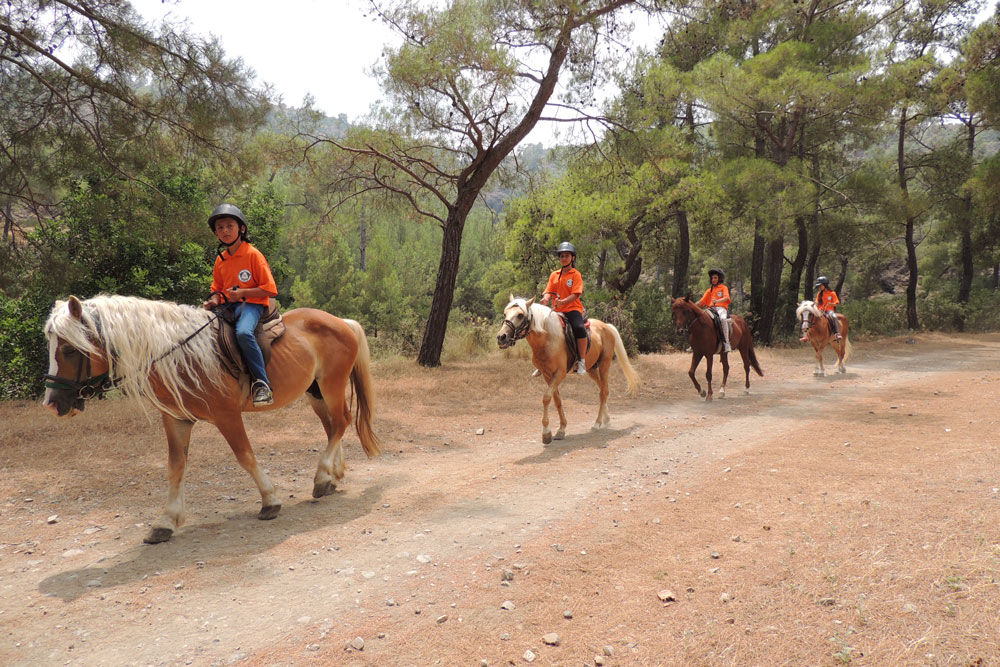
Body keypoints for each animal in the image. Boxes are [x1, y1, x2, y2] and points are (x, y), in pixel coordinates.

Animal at [42, 294, 382, 544]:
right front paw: (165, 521)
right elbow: (176, 467)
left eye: (69, 350)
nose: (53, 403)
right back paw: (332, 477)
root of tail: (341, 322)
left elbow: (245, 457)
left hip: (331, 384)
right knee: (332, 426)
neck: (179, 355)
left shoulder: (226, 416)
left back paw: (322, 477)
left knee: (341, 423)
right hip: (315, 391)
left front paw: (270, 500)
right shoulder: (176, 420)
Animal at [494, 296, 640, 444]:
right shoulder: (547, 375)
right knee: (603, 390)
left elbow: (546, 398)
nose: (501, 337)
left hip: (605, 364)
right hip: (591, 369)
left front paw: (546, 433)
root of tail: (606, 326)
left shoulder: (559, 374)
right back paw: (607, 419)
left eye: (520, 315)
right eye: (505, 314)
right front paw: (561, 429)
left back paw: (597, 423)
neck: (547, 338)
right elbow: (557, 400)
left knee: (604, 391)